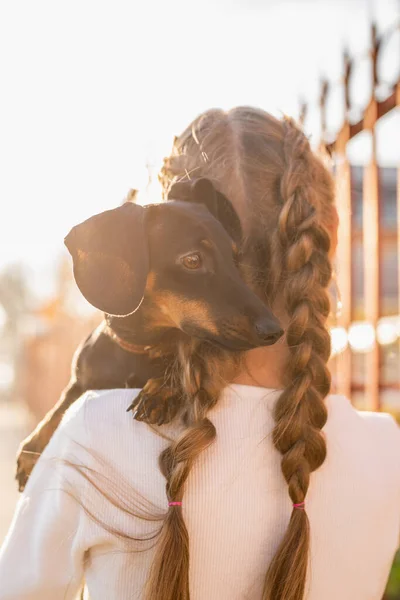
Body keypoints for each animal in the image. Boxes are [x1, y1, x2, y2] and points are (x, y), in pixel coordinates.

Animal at [16, 177, 284, 488]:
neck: (138, 349)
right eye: (192, 260)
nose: (275, 331)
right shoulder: (82, 379)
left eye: (235, 258)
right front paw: (32, 447)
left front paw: (163, 389)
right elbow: (61, 404)